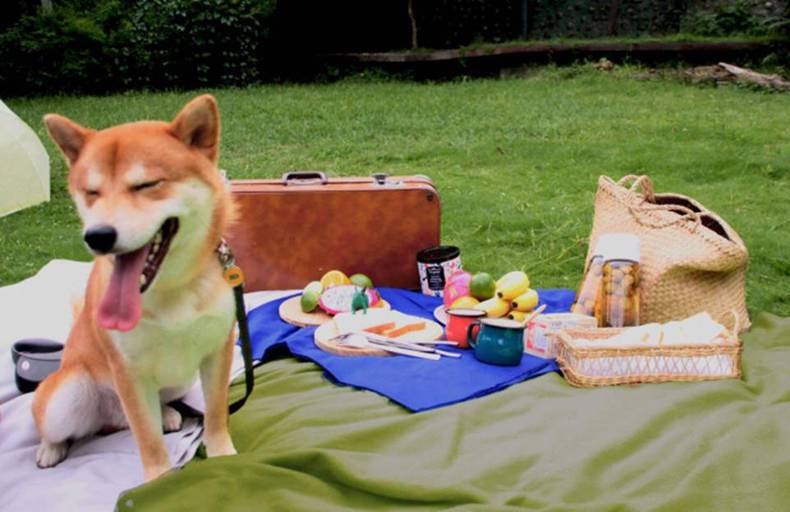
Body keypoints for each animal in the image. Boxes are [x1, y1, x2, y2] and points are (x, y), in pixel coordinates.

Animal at [34, 95, 238, 481]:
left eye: (146, 185)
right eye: (92, 192)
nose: (98, 236)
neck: (171, 290)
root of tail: (110, 418)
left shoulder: (217, 350)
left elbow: (217, 414)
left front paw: (224, 455)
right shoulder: (127, 370)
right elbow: (148, 437)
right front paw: (158, 481)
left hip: (180, 379)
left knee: (159, 403)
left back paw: (169, 414)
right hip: (65, 396)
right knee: (59, 426)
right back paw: (50, 449)